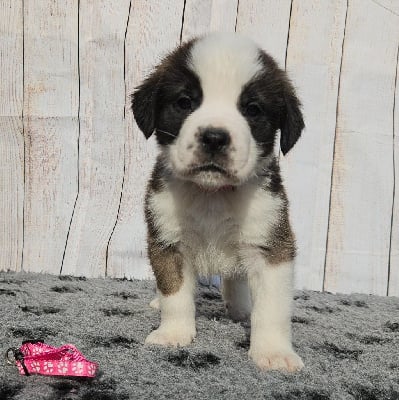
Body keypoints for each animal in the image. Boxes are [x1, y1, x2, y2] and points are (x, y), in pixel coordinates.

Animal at [133, 32, 304, 372]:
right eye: (185, 102)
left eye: (252, 109)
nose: (214, 137)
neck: (213, 194)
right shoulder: (168, 240)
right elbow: (174, 292)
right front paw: (173, 333)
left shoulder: (270, 245)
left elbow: (272, 308)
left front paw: (273, 351)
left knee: (236, 279)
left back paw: (240, 308)